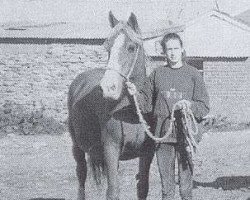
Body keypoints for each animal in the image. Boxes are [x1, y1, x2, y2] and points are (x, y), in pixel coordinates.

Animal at [67, 11, 155, 199]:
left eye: (131, 47)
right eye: (107, 48)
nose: (108, 88)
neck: (131, 112)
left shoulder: (147, 152)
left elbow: (143, 187)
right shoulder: (111, 150)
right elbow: (113, 191)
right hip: (77, 147)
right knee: (81, 177)